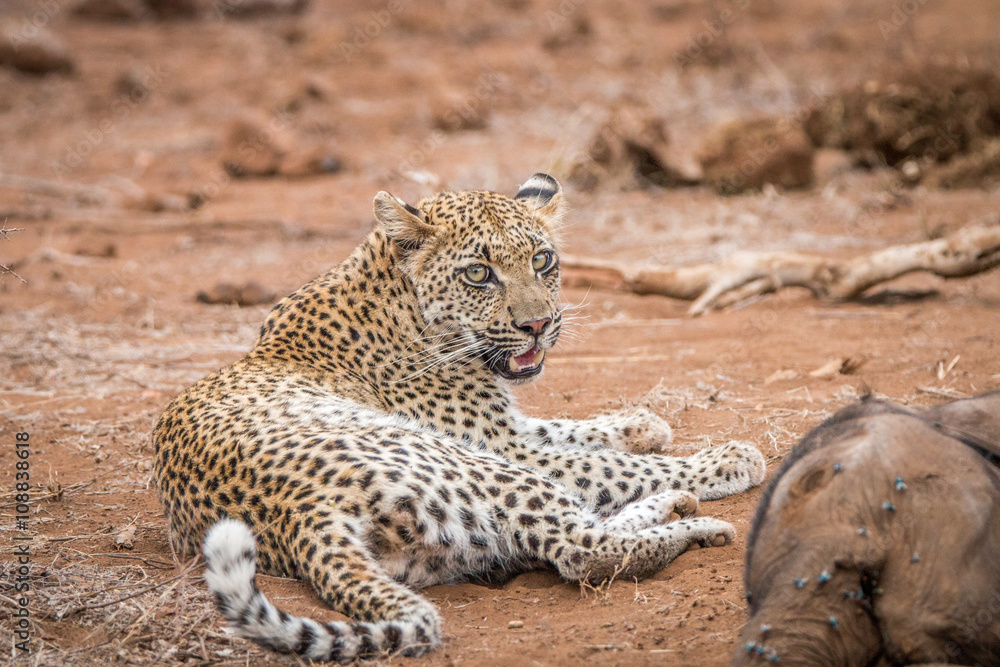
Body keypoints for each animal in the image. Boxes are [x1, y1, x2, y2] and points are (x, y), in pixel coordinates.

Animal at [152, 173, 766, 662]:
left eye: (542, 261)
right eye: (478, 274)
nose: (538, 325)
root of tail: (300, 515)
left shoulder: (500, 427)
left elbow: (571, 430)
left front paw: (643, 424)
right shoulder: (498, 443)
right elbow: (609, 465)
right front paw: (731, 459)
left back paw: (672, 507)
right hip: (463, 463)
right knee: (582, 550)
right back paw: (696, 522)